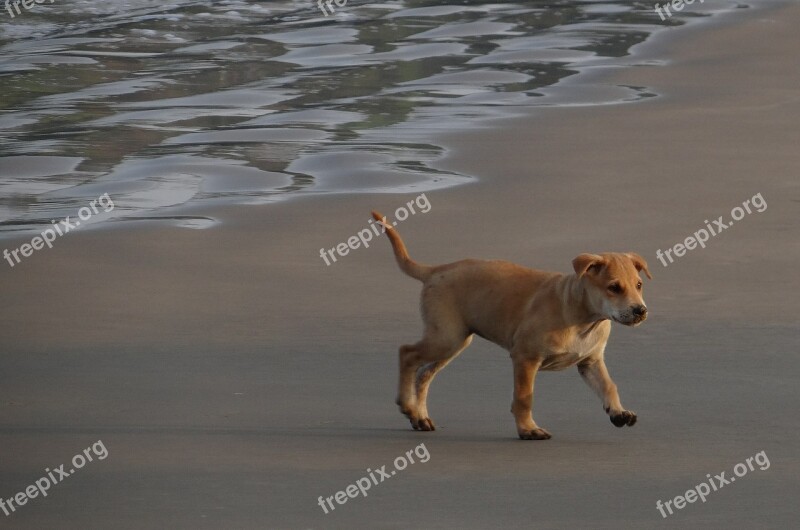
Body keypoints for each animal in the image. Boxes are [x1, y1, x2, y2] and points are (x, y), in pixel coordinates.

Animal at [374, 210, 648, 438]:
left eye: (639, 285)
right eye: (614, 287)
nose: (641, 311)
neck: (583, 318)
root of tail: (435, 270)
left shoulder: (590, 362)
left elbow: (609, 386)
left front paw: (618, 412)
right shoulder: (525, 357)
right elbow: (524, 397)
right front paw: (528, 429)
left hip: (454, 340)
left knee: (423, 374)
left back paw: (419, 417)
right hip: (445, 338)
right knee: (407, 353)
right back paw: (407, 405)